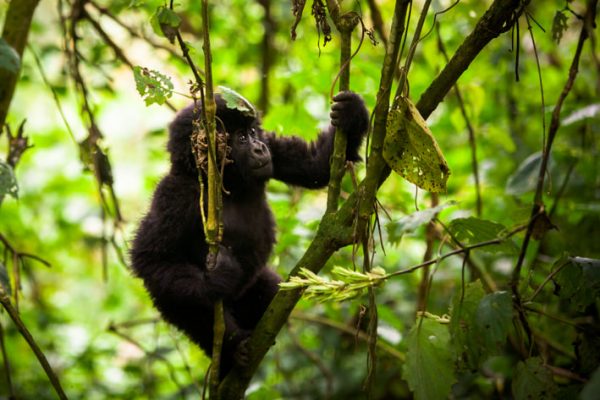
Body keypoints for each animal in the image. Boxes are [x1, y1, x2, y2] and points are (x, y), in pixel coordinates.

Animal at [131, 90, 370, 376]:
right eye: (241, 139)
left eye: (254, 132)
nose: (259, 148)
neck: (224, 184)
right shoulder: (175, 194)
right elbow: (151, 257)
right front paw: (216, 279)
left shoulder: (273, 150)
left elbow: (314, 165)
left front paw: (351, 113)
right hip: (171, 297)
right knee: (192, 306)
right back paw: (232, 350)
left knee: (266, 288)